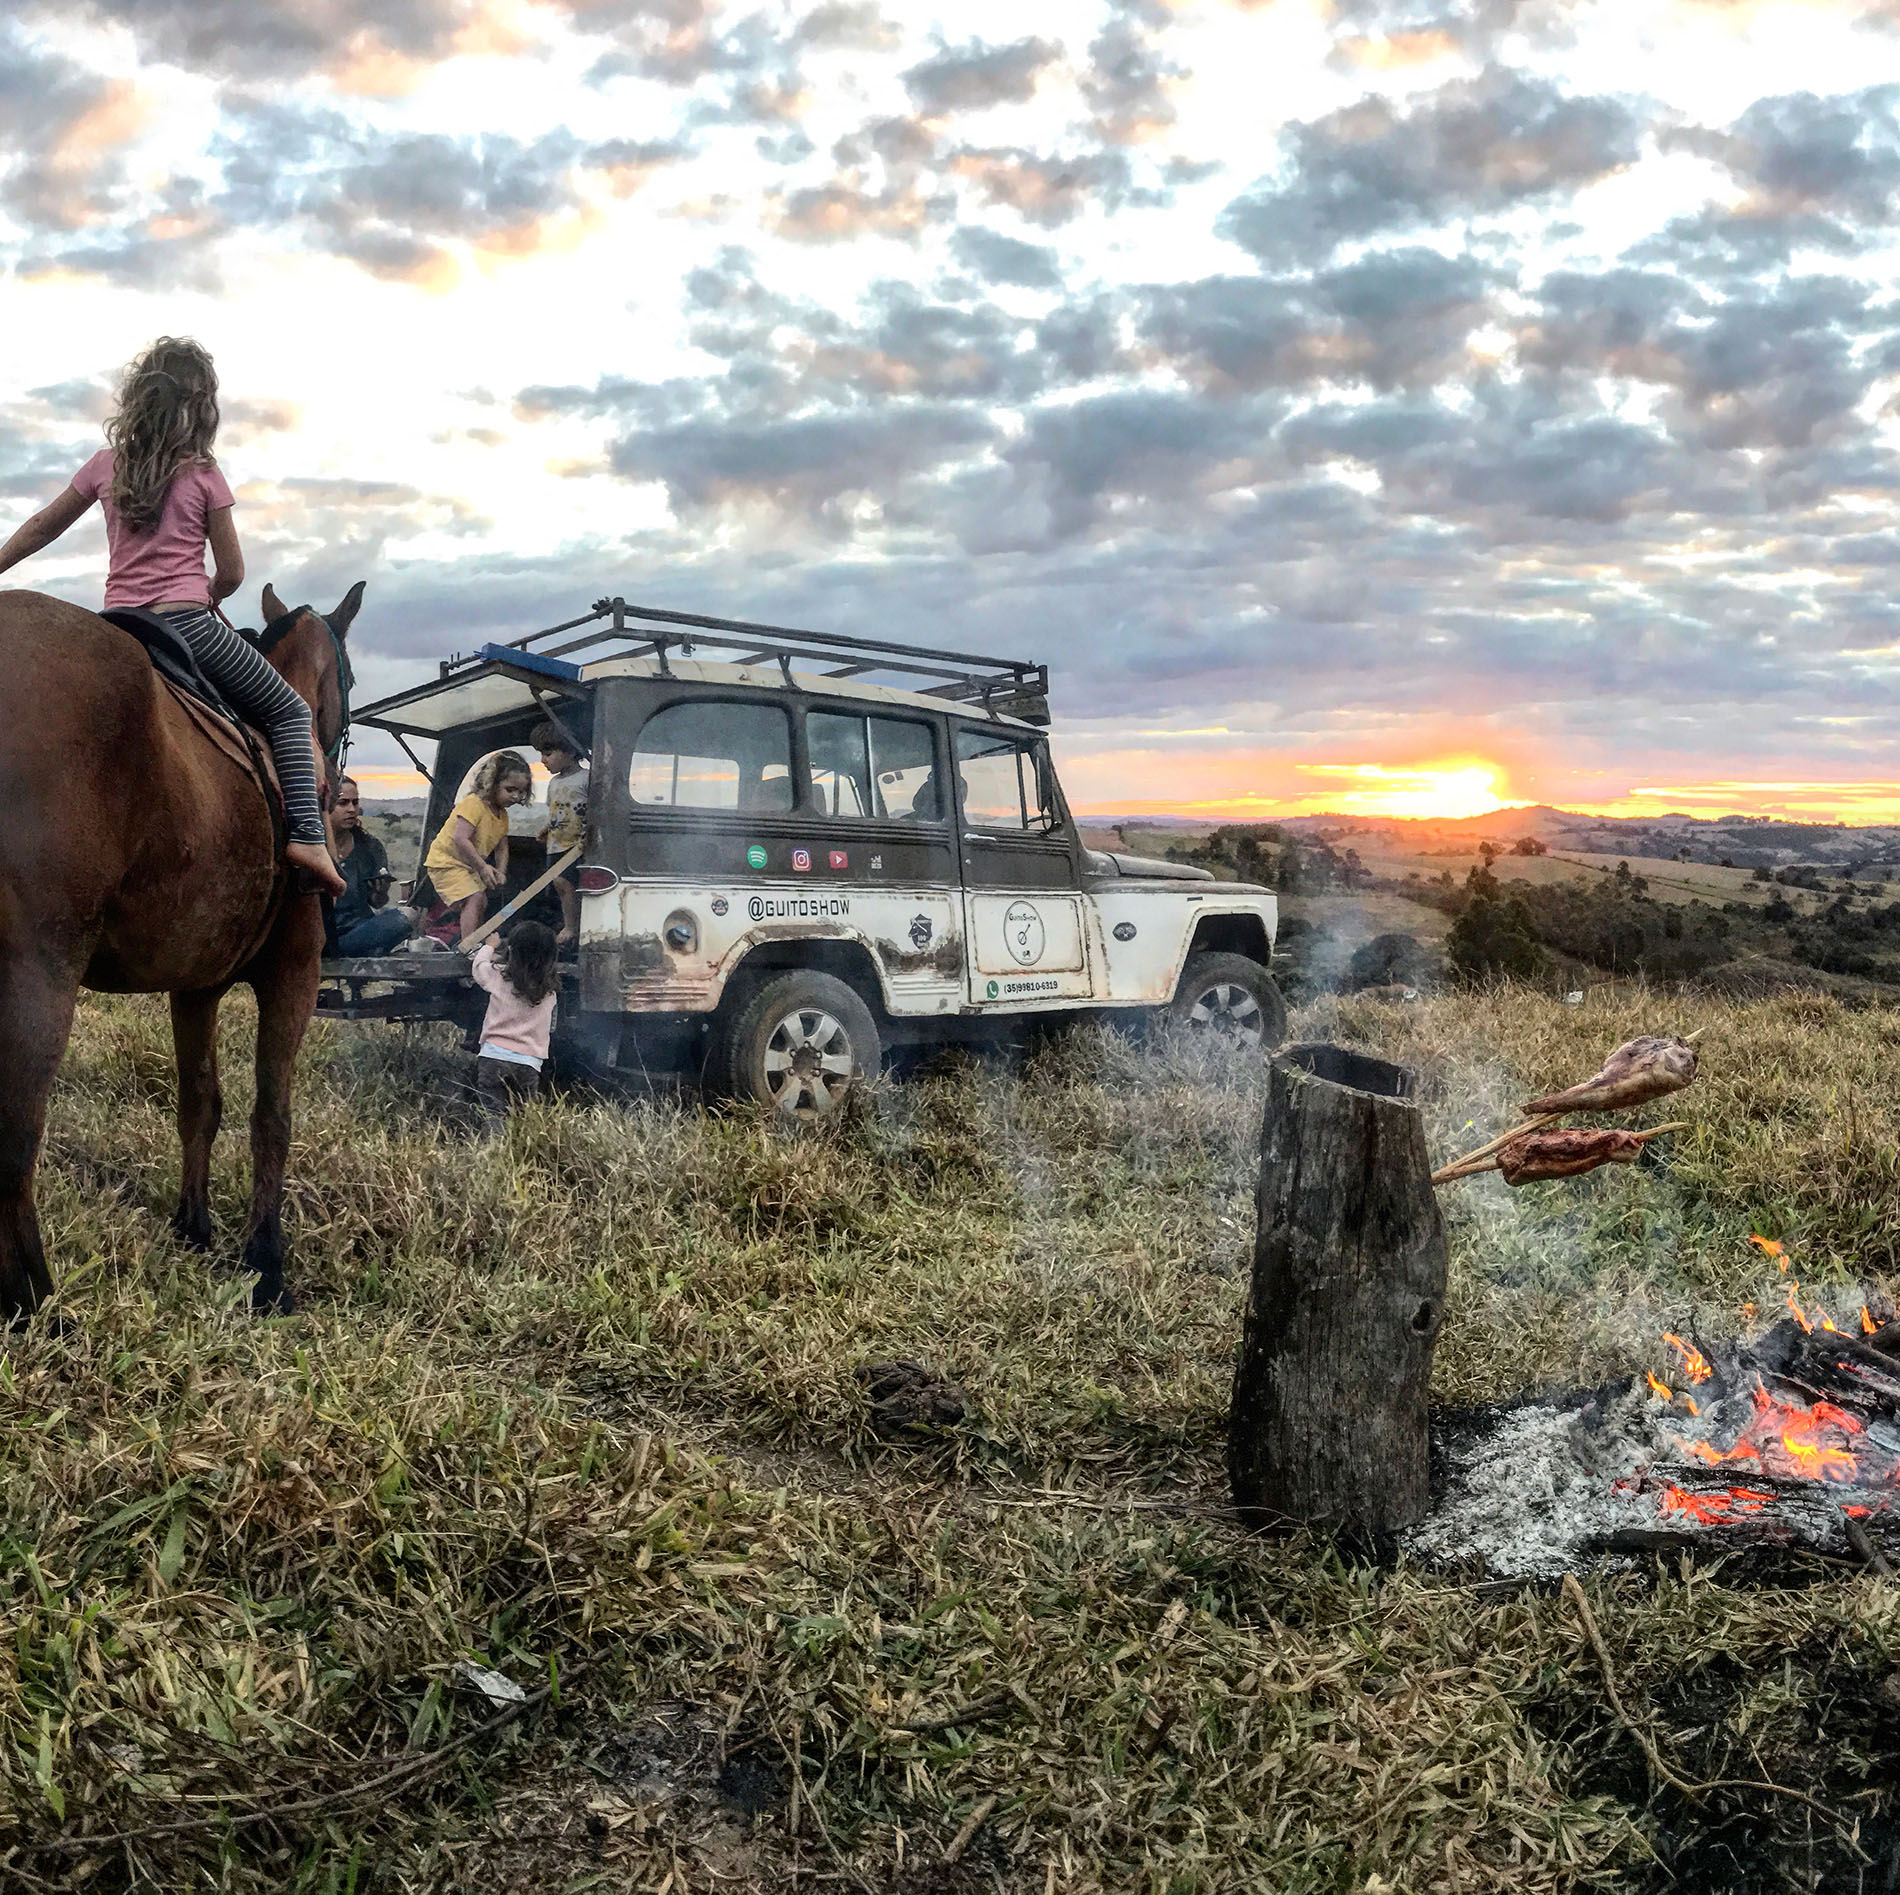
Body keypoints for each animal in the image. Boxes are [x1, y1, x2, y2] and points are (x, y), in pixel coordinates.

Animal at [0, 577, 359, 1315]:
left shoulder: (194, 987)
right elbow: (271, 1114)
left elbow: (201, 1103)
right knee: (15, 1139)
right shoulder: (296, 972)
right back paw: (35, 1301)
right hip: (37, 976)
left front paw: (193, 1225)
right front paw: (266, 1263)